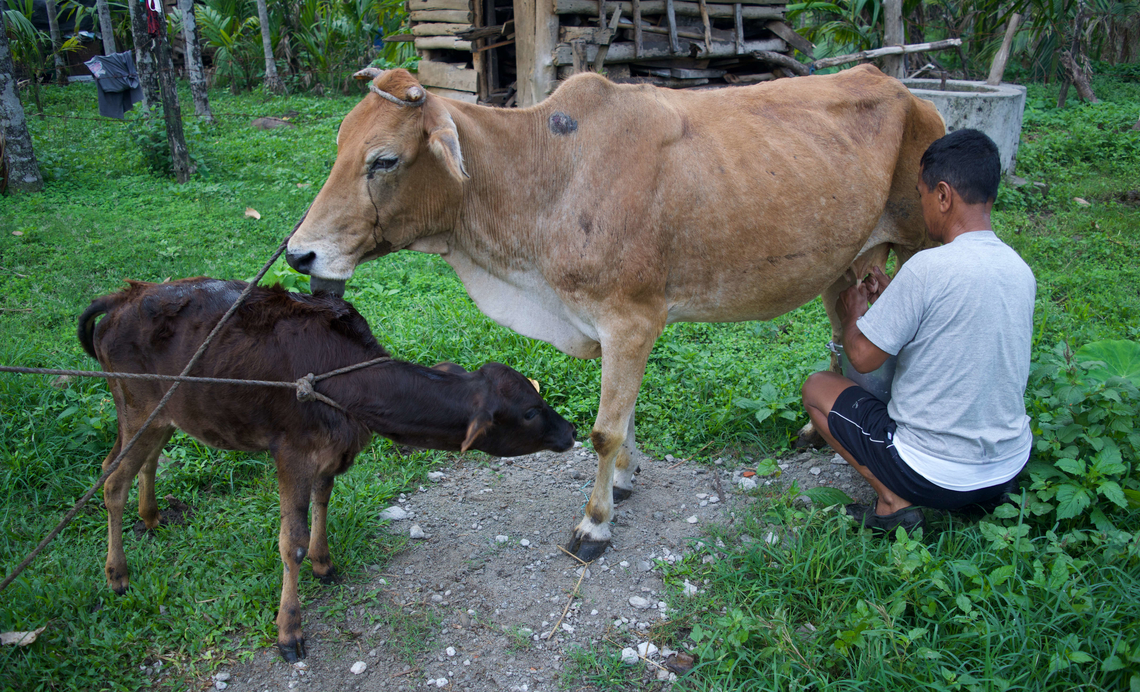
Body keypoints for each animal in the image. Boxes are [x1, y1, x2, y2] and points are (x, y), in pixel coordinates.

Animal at [78, 278, 576, 660]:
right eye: (530, 411)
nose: (571, 430)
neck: (350, 383)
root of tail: (124, 296)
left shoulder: (330, 453)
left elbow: (323, 503)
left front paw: (324, 563)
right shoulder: (293, 453)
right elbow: (291, 543)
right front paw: (289, 630)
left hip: (166, 411)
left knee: (145, 462)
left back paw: (152, 516)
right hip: (138, 405)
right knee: (112, 478)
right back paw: (118, 575)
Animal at [283, 64, 945, 561]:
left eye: (384, 160)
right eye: (340, 146)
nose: (298, 253)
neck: (545, 178)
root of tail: (908, 92)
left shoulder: (630, 321)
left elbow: (604, 430)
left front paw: (594, 524)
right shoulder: (617, 329)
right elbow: (625, 421)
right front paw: (625, 481)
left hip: (922, 242)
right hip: (843, 264)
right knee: (842, 332)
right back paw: (813, 431)